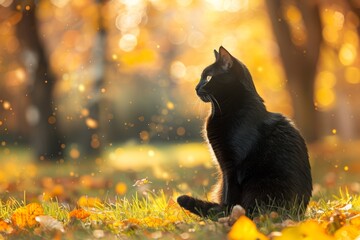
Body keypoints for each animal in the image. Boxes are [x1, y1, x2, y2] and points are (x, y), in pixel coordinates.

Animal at [177, 46, 312, 218]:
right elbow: (225, 191)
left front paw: (226, 213)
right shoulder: (224, 165)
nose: (196, 87)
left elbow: (230, 193)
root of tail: (297, 213)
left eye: (208, 77)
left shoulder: (231, 166)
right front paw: (223, 212)